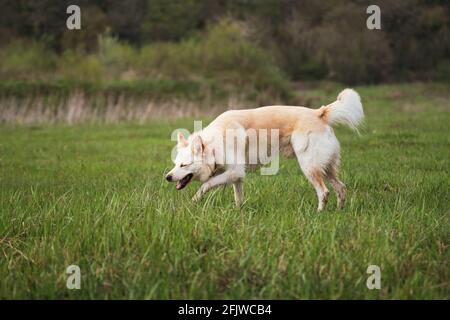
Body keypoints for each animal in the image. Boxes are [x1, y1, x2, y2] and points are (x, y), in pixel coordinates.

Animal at [165, 89, 362, 211]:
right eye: (175, 164)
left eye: (184, 165)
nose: (167, 177)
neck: (214, 145)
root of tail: (318, 113)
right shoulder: (237, 176)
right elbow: (238, 196)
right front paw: (238, 211)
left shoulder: (234, 171)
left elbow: (206, 184)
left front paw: (195, 199)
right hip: (327, 168)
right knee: (341, 188)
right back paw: (339, 211)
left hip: (309, 167)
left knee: (324, 192)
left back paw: (319, 213)